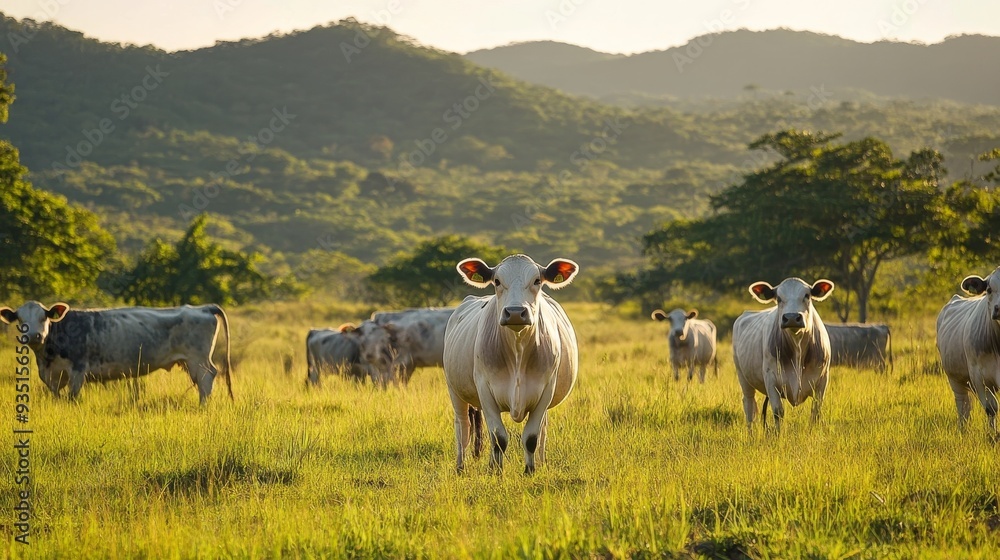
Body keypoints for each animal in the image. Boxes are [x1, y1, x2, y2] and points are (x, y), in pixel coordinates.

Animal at [0, 301, 233, 404]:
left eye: (44, 317)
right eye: (21, 320)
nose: (35, 336)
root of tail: (202, 307)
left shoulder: (78, 370)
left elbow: (72, 397)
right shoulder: (52, 377)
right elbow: (57, 397)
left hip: (198, 359)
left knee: (206, 378)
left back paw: (203, 406)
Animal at [443, 254, 579, 474]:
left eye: (537, 281)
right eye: (497, 281)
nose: (515, 312)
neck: (518, 351)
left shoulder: (545, 391)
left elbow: (532, 437)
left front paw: (530, 470)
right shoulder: (485, 390)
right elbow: (499, 438)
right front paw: (497, 473)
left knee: (542, 431)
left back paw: (540, 461)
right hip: (455, 391)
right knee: (462, 428)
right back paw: (461, 466)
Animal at [732, 278, 835, 431]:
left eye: (807, 295)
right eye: (778, 298)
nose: (792, 317)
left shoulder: (822, 380)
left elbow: (815, 411)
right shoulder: (771, 379)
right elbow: (778, 411)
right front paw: (779, 435)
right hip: (743, 376)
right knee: (749, 405)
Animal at [935, 267, 1000, 432]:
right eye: (989, 289)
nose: (999, 308)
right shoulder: (979, 377)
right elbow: (991, 408)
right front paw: (992, 435)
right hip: (955, 379)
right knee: (963, 406)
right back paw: (963, 430)